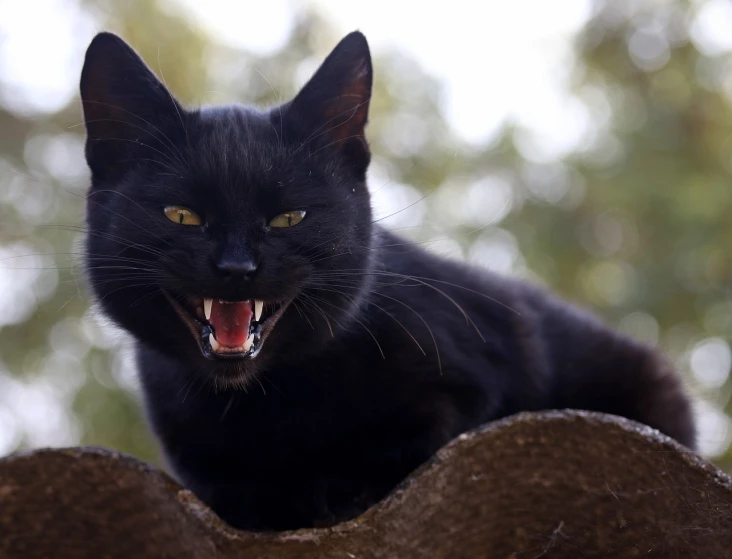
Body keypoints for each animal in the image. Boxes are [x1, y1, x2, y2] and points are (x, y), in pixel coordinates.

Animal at [80, 31, 696, 532]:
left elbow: (398, 446)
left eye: (288, 218)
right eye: (181, 215)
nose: (237, 269)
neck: (268, 401)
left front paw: (332, 491)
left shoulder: (472, 375)